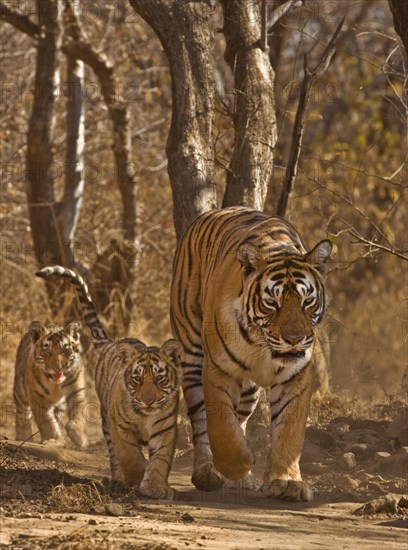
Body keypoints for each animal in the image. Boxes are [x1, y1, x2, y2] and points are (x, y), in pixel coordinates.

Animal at [169, 206, 332, 500]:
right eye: (272, 303)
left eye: (307, 301)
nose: (294, 339)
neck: (262, 347)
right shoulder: (219, 369)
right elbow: (221, 425)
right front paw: (239, 463)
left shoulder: (295, 376)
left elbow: (289, 430)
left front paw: (286, 482)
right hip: (192, 352)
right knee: (200, 419)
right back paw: (208, 473)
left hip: (248, 389)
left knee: (241, 416)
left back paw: (239, 479)